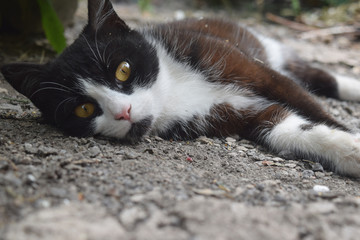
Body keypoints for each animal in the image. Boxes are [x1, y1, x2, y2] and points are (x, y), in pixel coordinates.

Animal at [2, 0, 360, 176]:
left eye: (123, 69)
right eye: (84, 108)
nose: (123, 112)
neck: (172, 91)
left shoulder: (243, 66)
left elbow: (303, 100)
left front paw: (349, 135)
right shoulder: (231, 116)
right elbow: (287, 128)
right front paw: (349, 150)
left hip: (264, 48)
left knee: (315, 76)